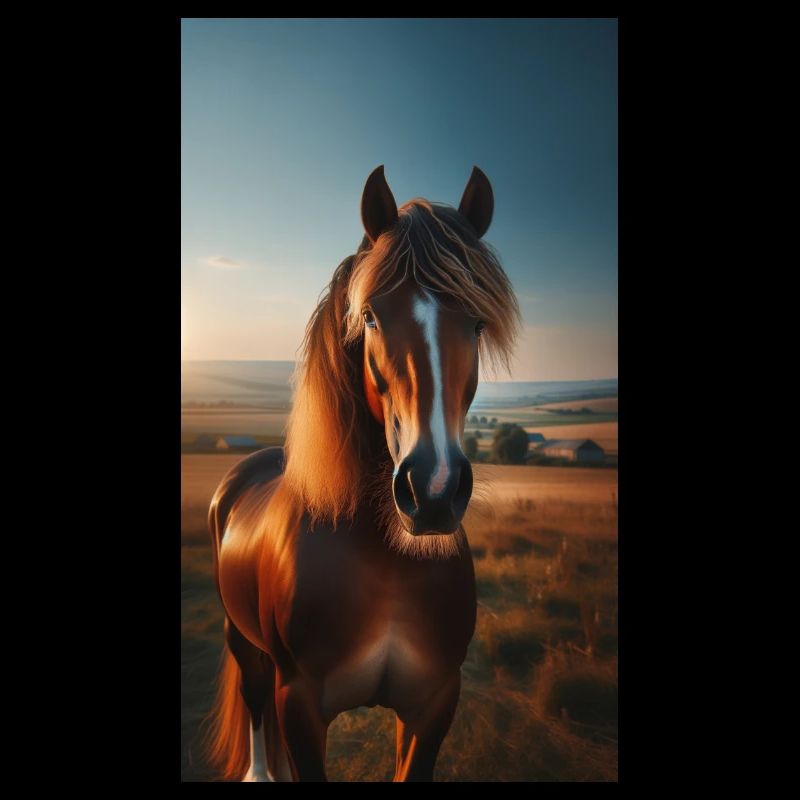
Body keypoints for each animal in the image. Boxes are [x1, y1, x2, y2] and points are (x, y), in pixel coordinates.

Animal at [203, 165, 520, 782]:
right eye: (370, 315)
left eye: (476, 323)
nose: (433, 491)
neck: (389, 561)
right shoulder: (299, 704)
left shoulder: (434, 704)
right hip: (240, 641)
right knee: (255, 709)